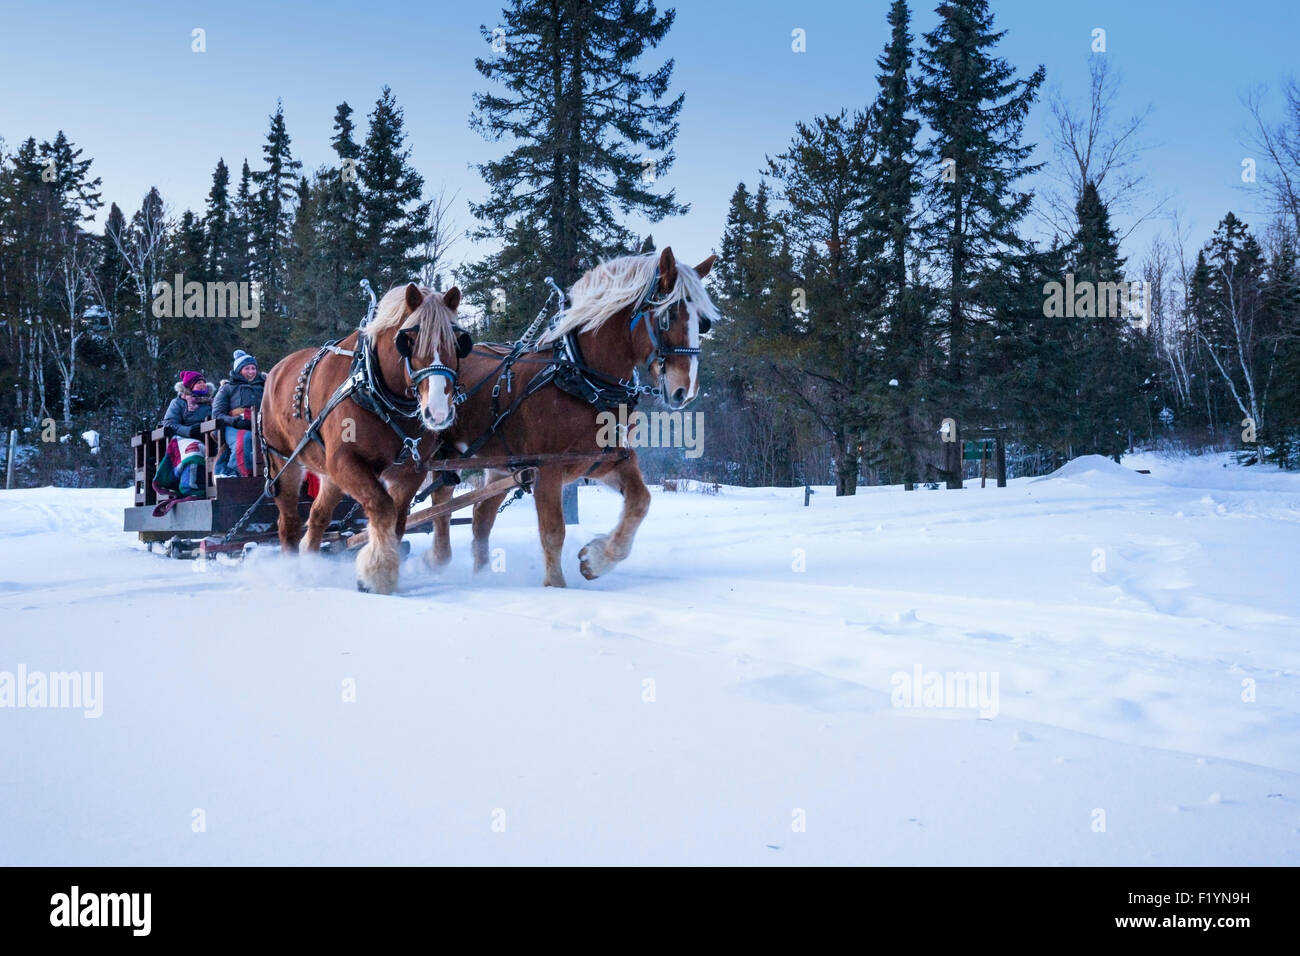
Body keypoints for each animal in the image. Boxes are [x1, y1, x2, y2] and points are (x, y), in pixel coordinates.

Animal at [260, 283, 470, 594]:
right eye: (409, 341)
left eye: (458, 343)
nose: (438, 411)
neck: (373, 388)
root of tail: (275, 371)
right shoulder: (346, 462)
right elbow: (382, 508)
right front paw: (377, 574)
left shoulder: (408, 473)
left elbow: (397, 519)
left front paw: (381, 570)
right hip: (283, 462)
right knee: (289, 523)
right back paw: (295, 574)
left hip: (330, 476)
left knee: (317, 518)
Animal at [417, 247, 718, 587]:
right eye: (669, 316)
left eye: (703, 323)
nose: (686, 390)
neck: (583, 380)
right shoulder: (547, 467)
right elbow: (553, 531)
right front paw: (556, 586)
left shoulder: (607, 460)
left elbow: (640, 501)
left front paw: (595, 559)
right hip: (447, 453)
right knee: (442, 500)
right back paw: (438, 559)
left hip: (497, 464)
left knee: (481, 515)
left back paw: (482, 574)